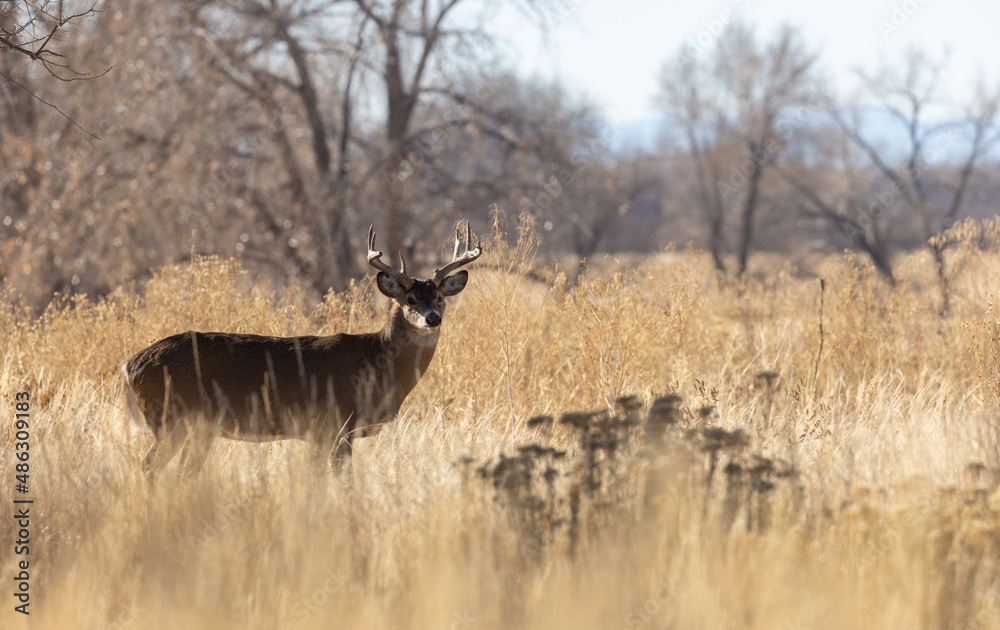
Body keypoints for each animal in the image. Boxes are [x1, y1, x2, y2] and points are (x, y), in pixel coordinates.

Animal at [121, 222, 481, 475]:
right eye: (410, 299)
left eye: (440, 297)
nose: (433, 318)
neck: (375, 364)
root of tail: (129, 366)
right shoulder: (337, 424)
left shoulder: (321, 434)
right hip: (169, 417)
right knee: (148, 467)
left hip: (197, 427)